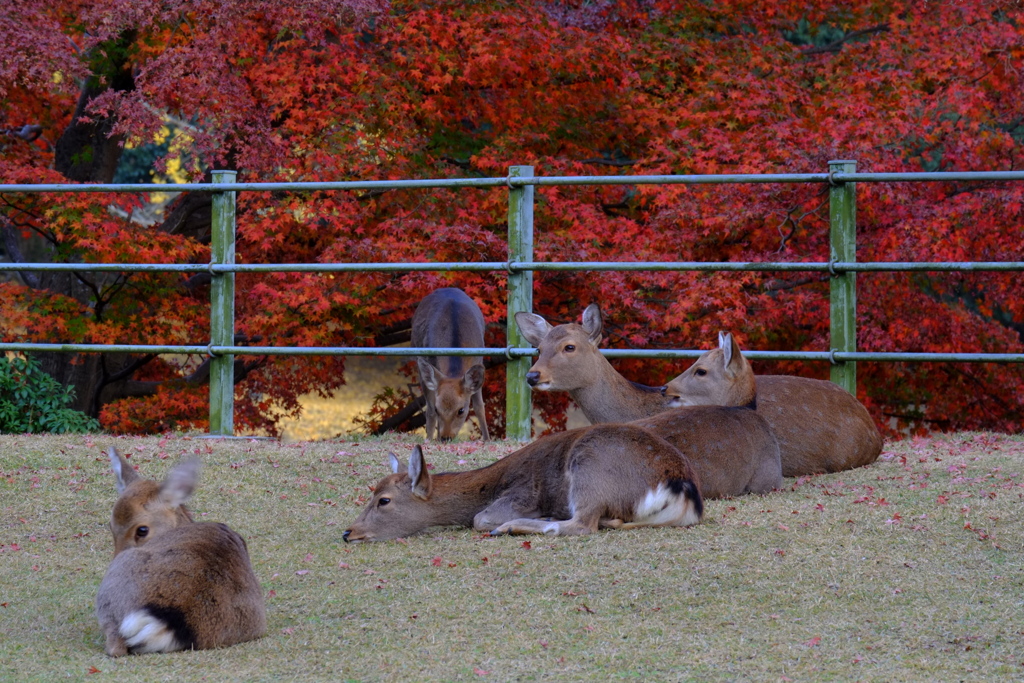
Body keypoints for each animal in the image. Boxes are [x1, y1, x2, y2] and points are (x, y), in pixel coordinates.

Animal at [344, 423, 704, 540]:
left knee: (583, 524)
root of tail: (683, 487)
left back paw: (512, 527)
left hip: (590, 469)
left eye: (384, 500)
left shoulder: (521, 495)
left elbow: (479, 518)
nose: (348, 532)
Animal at [409, 286, 489, 440]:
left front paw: (487, 439)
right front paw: (430, 439)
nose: (446, 437)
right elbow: (429, 410)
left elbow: (479, 407)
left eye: (461, 410)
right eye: (438, 408)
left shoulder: (479, 358)